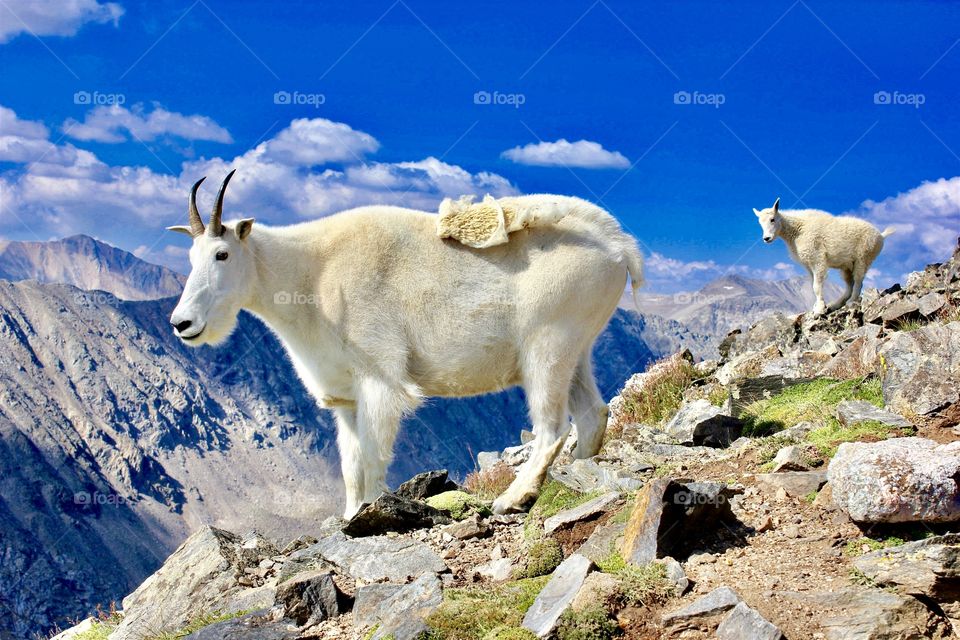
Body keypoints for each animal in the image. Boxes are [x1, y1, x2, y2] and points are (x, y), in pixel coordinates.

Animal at [168, 172, 644, 518]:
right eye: (189, 257)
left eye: (222, 254)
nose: (181, 323)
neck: (310, 274)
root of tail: (622, 247)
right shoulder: (346, 396)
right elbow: (350, 467)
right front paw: (349, 517)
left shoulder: (380, 379)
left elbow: (373, 459)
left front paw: (371, 514)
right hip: (576, 345)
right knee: (592, 412)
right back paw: (579, 475)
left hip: (548, 342)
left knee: (551, 427)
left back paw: (513, 498)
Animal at [754, 197, 895, 315]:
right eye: (760, 223)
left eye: (772, 219)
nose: (766, 238)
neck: (796, 231)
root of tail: (881, 236)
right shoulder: (808, 264)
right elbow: (813, 284)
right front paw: (817, 306)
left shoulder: (817, 258)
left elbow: (817, 285)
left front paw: (819, 309)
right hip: (847, 265)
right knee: (849, 284)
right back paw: (834, 305)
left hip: (863, 257)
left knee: (858, 281)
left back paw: (851, 302)